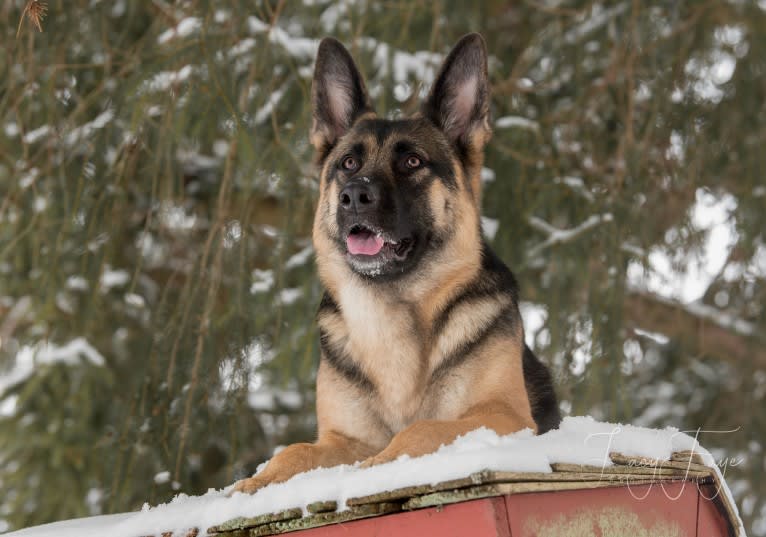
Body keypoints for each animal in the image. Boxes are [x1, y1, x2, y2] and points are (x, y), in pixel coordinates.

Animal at [231, 34, 560, 494]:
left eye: (412, 162)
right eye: (348, 163)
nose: (354, 196)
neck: (391, 307)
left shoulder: (501, 416)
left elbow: (421, 428)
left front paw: (383, 464)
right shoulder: (344, 439)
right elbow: (294, 451)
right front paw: (253, 484)